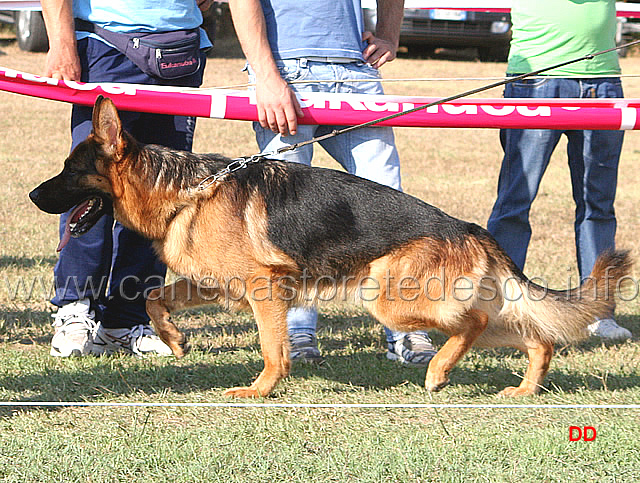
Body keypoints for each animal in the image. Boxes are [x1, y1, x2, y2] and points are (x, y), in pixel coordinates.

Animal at [30, 96, 632, 398]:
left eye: (69, 171)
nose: (34, 194)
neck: (184, 191)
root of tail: (468, 227)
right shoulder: (220, 284)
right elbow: (156, 297)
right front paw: (175, 341)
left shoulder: (265, 290)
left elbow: (273, 348)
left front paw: (261, 390)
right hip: (451, 301)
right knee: (537, 337)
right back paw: (524, 390)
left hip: (390, 299)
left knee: (474, 325)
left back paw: (438, 372)